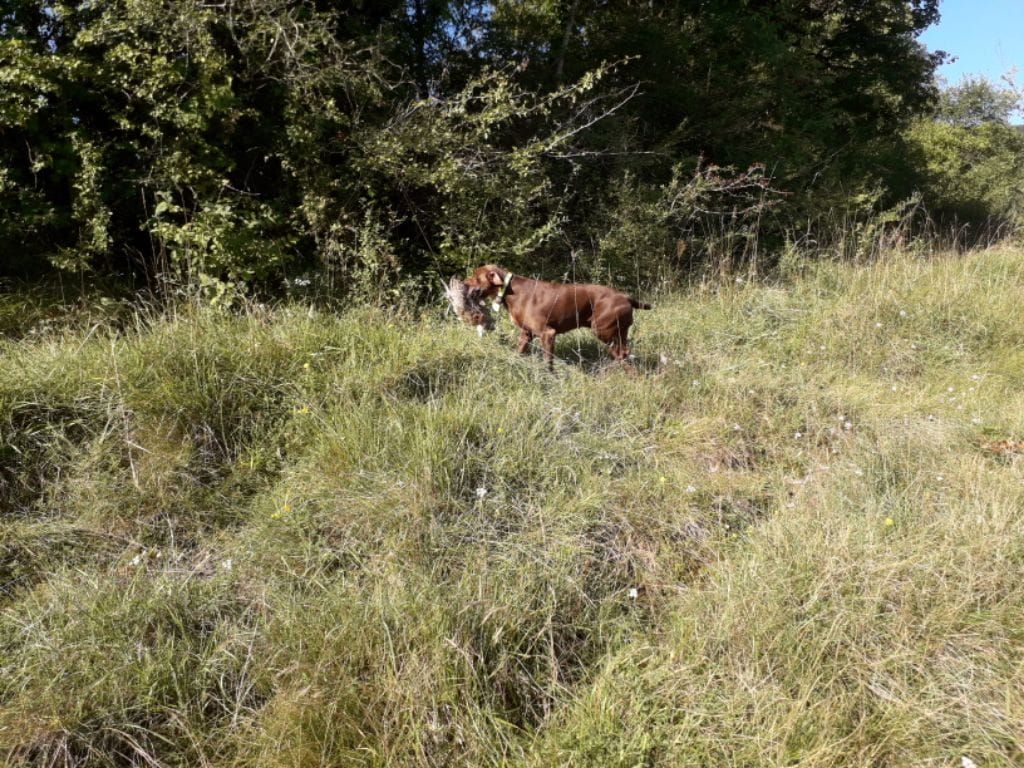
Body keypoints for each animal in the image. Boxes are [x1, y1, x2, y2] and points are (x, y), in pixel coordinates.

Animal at [462, 264, 647, 370]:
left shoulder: (548, 334)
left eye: (476, 278)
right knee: (625, 353)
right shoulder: (526, 334)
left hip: (603, 331)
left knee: (623, 354)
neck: (509, 291)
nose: (462, 283)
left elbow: (548, 362)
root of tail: (626, 297)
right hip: (619, 332)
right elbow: (519, 352)